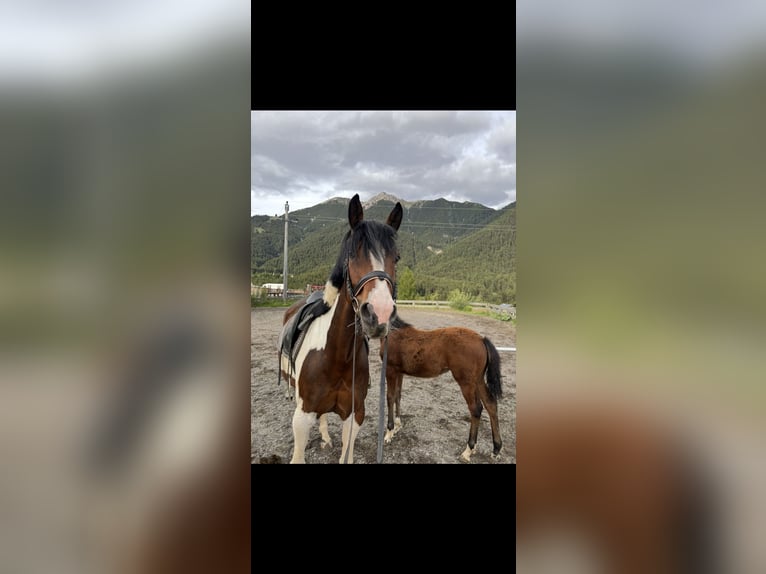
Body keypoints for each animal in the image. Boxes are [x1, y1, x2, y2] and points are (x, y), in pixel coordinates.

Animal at [277, 194, 402, 464]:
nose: (379, 314)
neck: (336, 355)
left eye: (396, 258)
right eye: (352, 254)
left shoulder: (355, 415)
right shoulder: (301, 417)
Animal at [381, 315, 503, 462]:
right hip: (478, 380)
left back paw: (468, 450)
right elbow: (397, 396)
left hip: (466, 382)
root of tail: (481, 339)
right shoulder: (399, 372)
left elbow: (390, 397)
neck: (392, 333)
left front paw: (389, 432)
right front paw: (397, 426)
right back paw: (496, 449)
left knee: (476, 409)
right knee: (491, 404)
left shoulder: (390, 370)